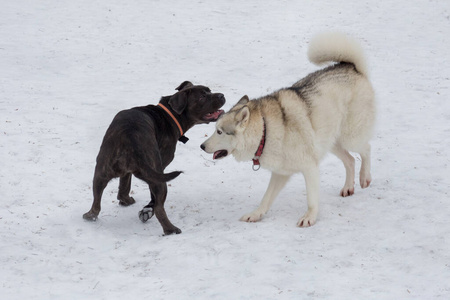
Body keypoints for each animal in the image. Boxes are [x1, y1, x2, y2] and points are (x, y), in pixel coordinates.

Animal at [82, 81, 225, 234]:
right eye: (202, 97)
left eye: (209, 90)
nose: (222, 95)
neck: (170, 115)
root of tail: (129, 138)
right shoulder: (161, 168)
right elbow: (152, 197)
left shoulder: (126, 173)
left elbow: (124, 184)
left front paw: (125, 200)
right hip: (158, 177)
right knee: (158, 208)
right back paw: (170, 229)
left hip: (101, 171)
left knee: (96, 202)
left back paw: (91, 215)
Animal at [201, 32, 376, 227]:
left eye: (219, 132)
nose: (202, 146)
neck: (266, 131)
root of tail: (351, 67)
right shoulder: (280, 173)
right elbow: (266, 198)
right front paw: (256, 214)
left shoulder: (310, 167)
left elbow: (312, 199)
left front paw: (309, 217)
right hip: (330, 143)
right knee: (350, 160)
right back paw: (348, 188)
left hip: (350, 137)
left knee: (366, 149)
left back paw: (364, 177)